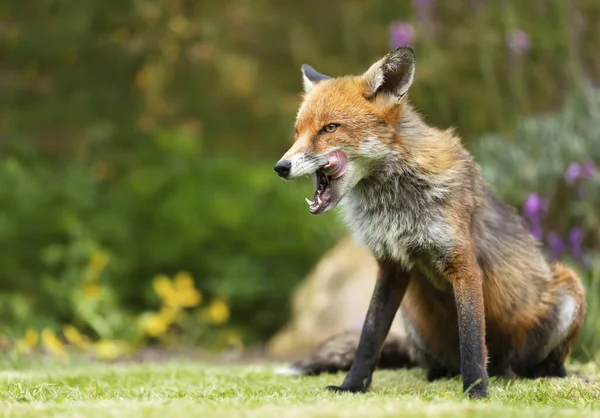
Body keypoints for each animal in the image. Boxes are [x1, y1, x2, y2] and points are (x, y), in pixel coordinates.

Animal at [274, 46, 584, 398]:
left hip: (569, 288)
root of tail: (505, 366)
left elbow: (472, 342)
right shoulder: (391, 266)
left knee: (533, 361)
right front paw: (351, 386)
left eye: (329, 128)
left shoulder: (463, 264)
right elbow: (368, 337)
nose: (280, 167)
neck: (393, 203)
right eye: (298, 132)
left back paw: (549, 372)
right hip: (412, 315)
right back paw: (437, 372)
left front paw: (476, 393)